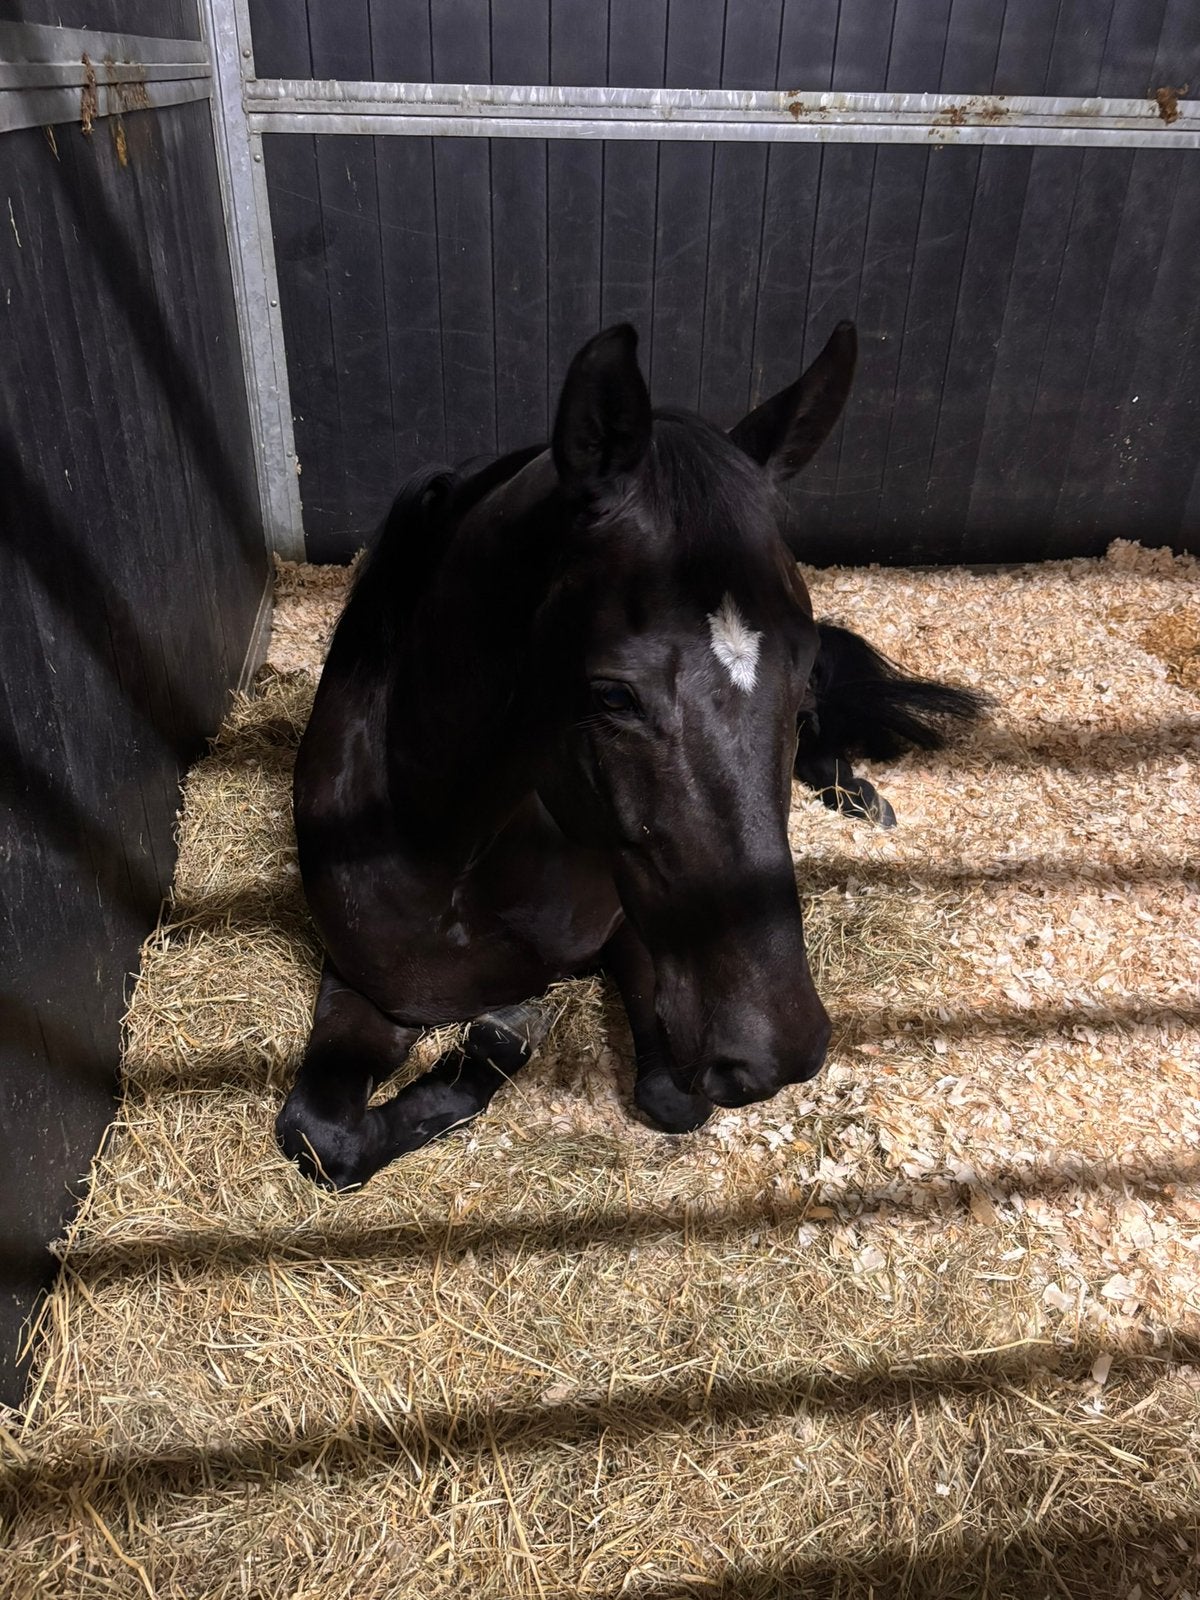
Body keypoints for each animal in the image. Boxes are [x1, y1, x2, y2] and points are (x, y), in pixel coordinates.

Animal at [277, 321, 984, 1188]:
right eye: (613, 696)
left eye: (799, 677)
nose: (777, 1049)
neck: (446, 853)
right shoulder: (363, 984)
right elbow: (321, 1135)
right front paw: (502, 1030)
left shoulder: (636, 934)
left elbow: (672, 1095)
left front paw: (508, 1028)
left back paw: (855, 794)